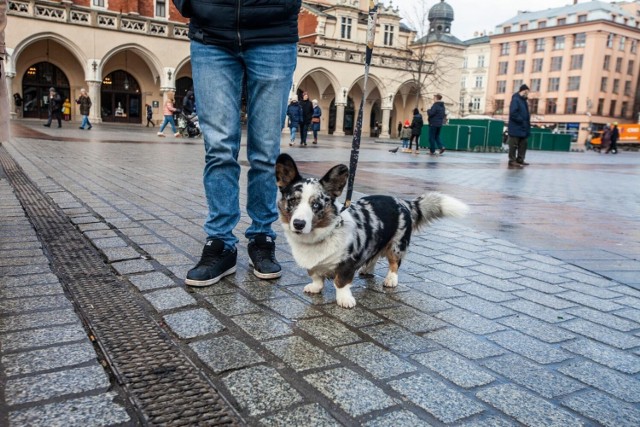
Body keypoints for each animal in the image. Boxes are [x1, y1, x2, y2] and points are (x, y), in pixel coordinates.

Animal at [272, 155, 468, 310]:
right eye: (293, 200)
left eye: (316, 205)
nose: (298, 224)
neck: (318, 236)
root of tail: (404, 202)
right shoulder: (312, 266)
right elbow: (316, 276)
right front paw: (315, 287)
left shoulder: (348, 264)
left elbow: (341, 282)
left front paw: (344, 299)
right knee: (373, 256)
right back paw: (367, 269)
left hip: (397, 245)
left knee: (394, 263)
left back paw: (391, 280)